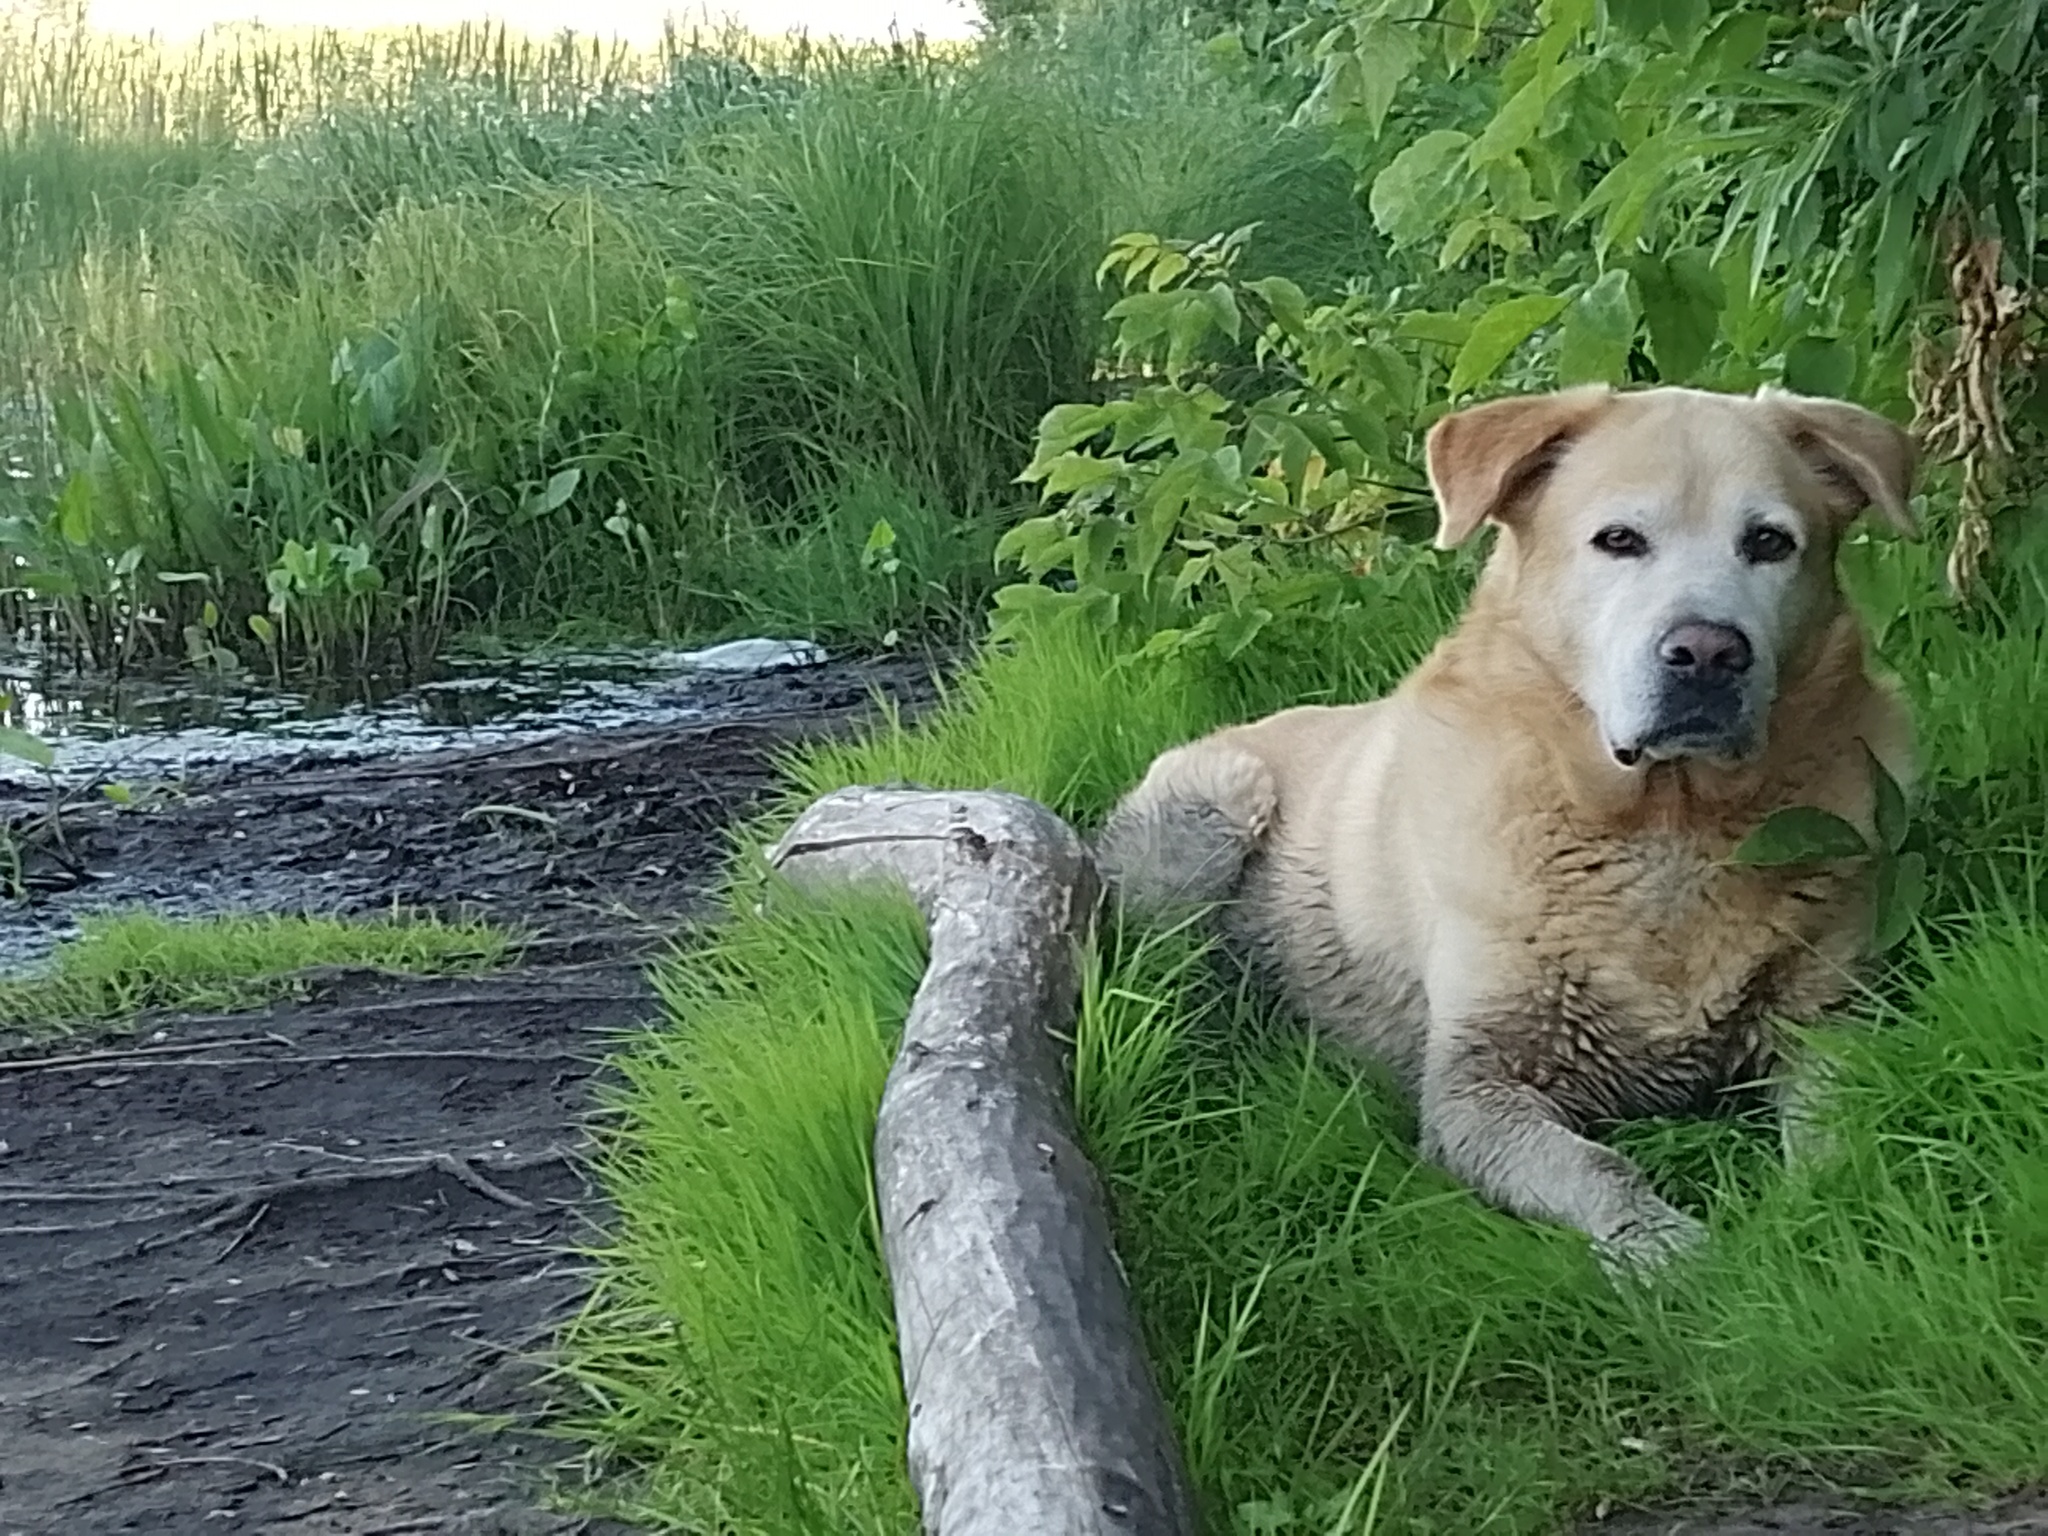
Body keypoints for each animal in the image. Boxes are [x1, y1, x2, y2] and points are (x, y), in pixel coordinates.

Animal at [1105, 387, 1916, 1277]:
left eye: (1769, 542)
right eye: (1618, 540)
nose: (1706, 652)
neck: (1665, 827)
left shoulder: (1825, 1020)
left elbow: (1838, 1125)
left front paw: (1815, 1225)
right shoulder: (1476, 1088)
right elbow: (1596, 1166)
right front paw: (1668, 1254)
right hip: (1218, 803)